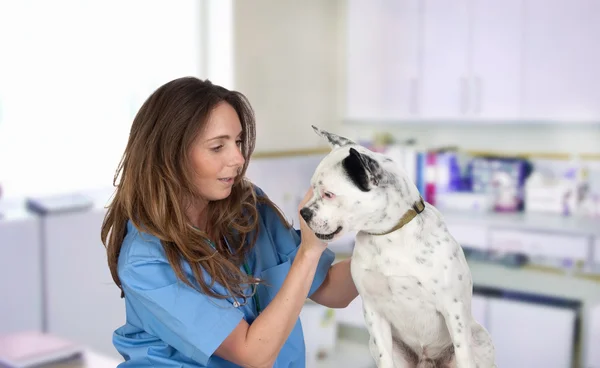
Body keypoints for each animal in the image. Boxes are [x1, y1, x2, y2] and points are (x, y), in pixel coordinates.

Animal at [300, 125, 496, 366]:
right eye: (313, 189)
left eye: (329, 194)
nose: (303, 213)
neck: (387, 236)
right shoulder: (374, 313)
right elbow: (385, 356)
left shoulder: (454, 310)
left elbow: (463, 354)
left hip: (478, 337)